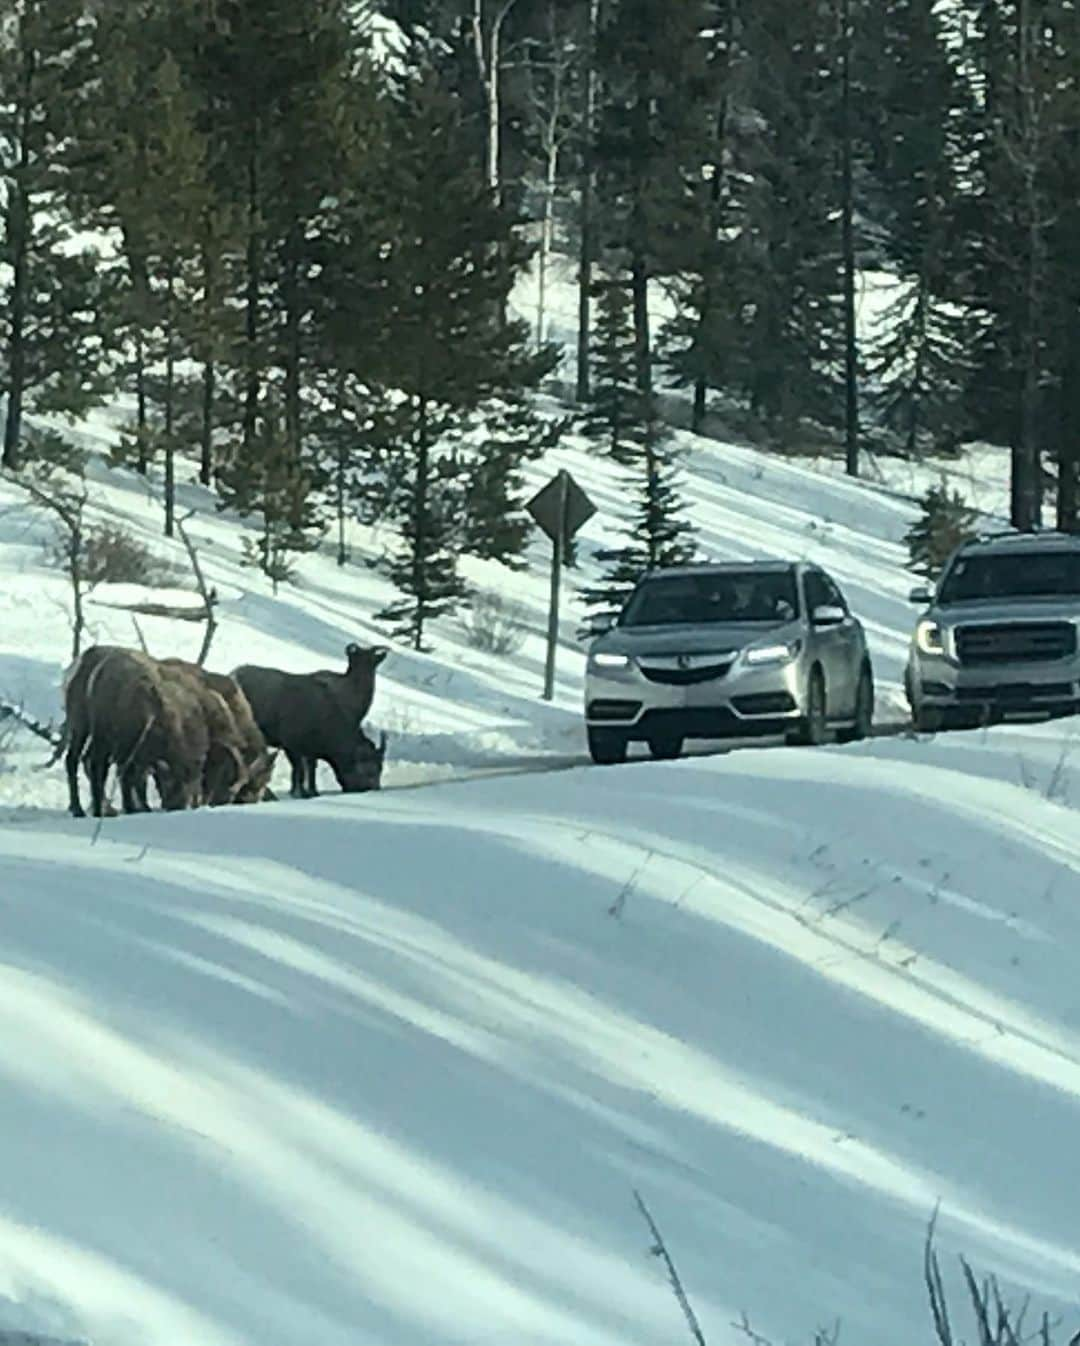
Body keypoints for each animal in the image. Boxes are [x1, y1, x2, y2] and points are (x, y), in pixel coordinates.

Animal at [231, 643, 390, 796]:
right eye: (370, 771)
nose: (374, 788)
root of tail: (234, 673)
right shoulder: (292, 746)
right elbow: (299, 771)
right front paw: (299, 793)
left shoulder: (310, 751)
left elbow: (311, 770)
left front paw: (312, 792)